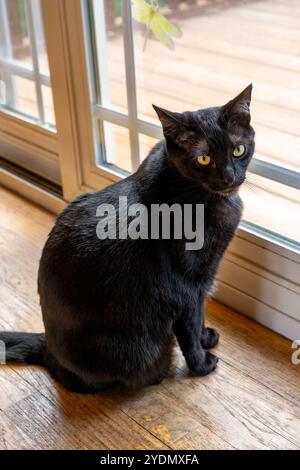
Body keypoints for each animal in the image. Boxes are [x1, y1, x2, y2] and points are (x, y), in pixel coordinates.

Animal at [0, 85, 255, 392]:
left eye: (238, 150)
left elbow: (201, 314)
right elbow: (190, 326)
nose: (229, 177)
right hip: (134, 349)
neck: (190, 191)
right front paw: (202, 363)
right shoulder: (185, 286)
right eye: (203, 158)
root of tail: (47, 346)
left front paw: (206, 338)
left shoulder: (203, 281)